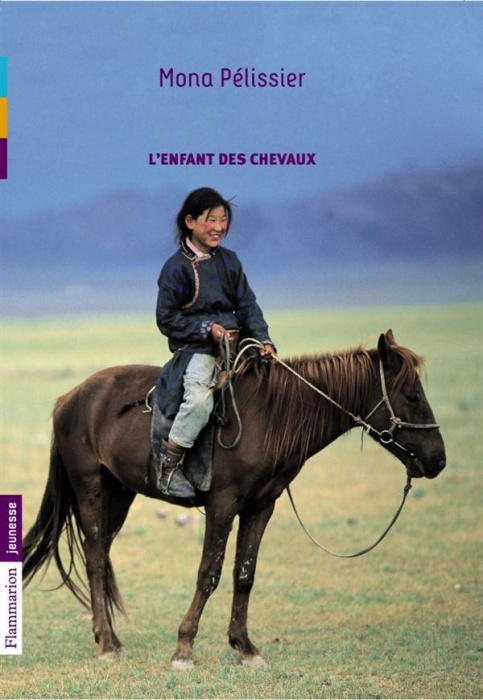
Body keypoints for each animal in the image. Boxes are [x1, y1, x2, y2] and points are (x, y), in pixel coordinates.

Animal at [22, 330, 446, 668]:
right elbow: (208, 573)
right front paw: (183, 649)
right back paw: (107, 646)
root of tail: (68, 399)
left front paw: (245, 647)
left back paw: (109, 638)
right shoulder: (222, 506)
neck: (272, 417)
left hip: (118, 495)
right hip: (90, 489)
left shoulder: (261, 507)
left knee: (103, 555)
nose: (438, 460)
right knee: (95, 560)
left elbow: (245, 575)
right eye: (412, 396)